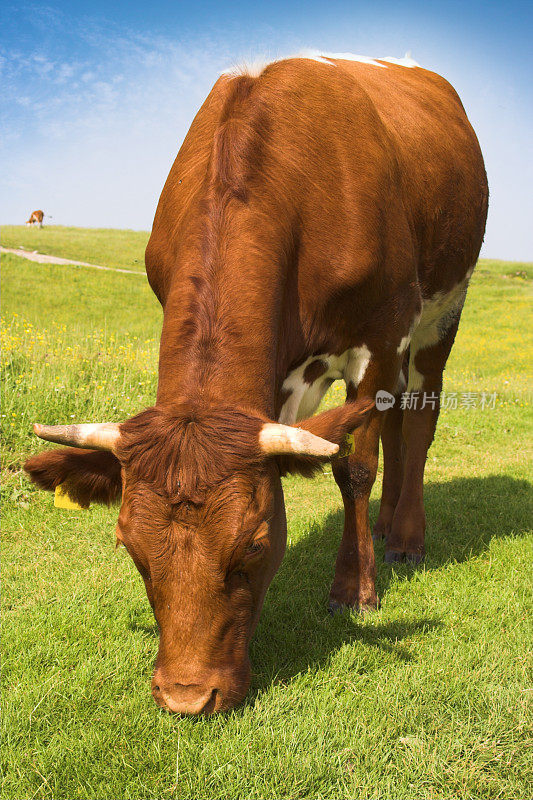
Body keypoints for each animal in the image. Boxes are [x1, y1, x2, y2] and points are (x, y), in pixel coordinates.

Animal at [23, 53, 486, 716]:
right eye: (131, 549)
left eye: (255, 545)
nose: (187, 697)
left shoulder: (380, 337)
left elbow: (354, 466)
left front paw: (355, 589)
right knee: (398, 424)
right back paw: (386, 527)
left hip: (440, 314)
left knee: (417, 421)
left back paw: (405, 538)